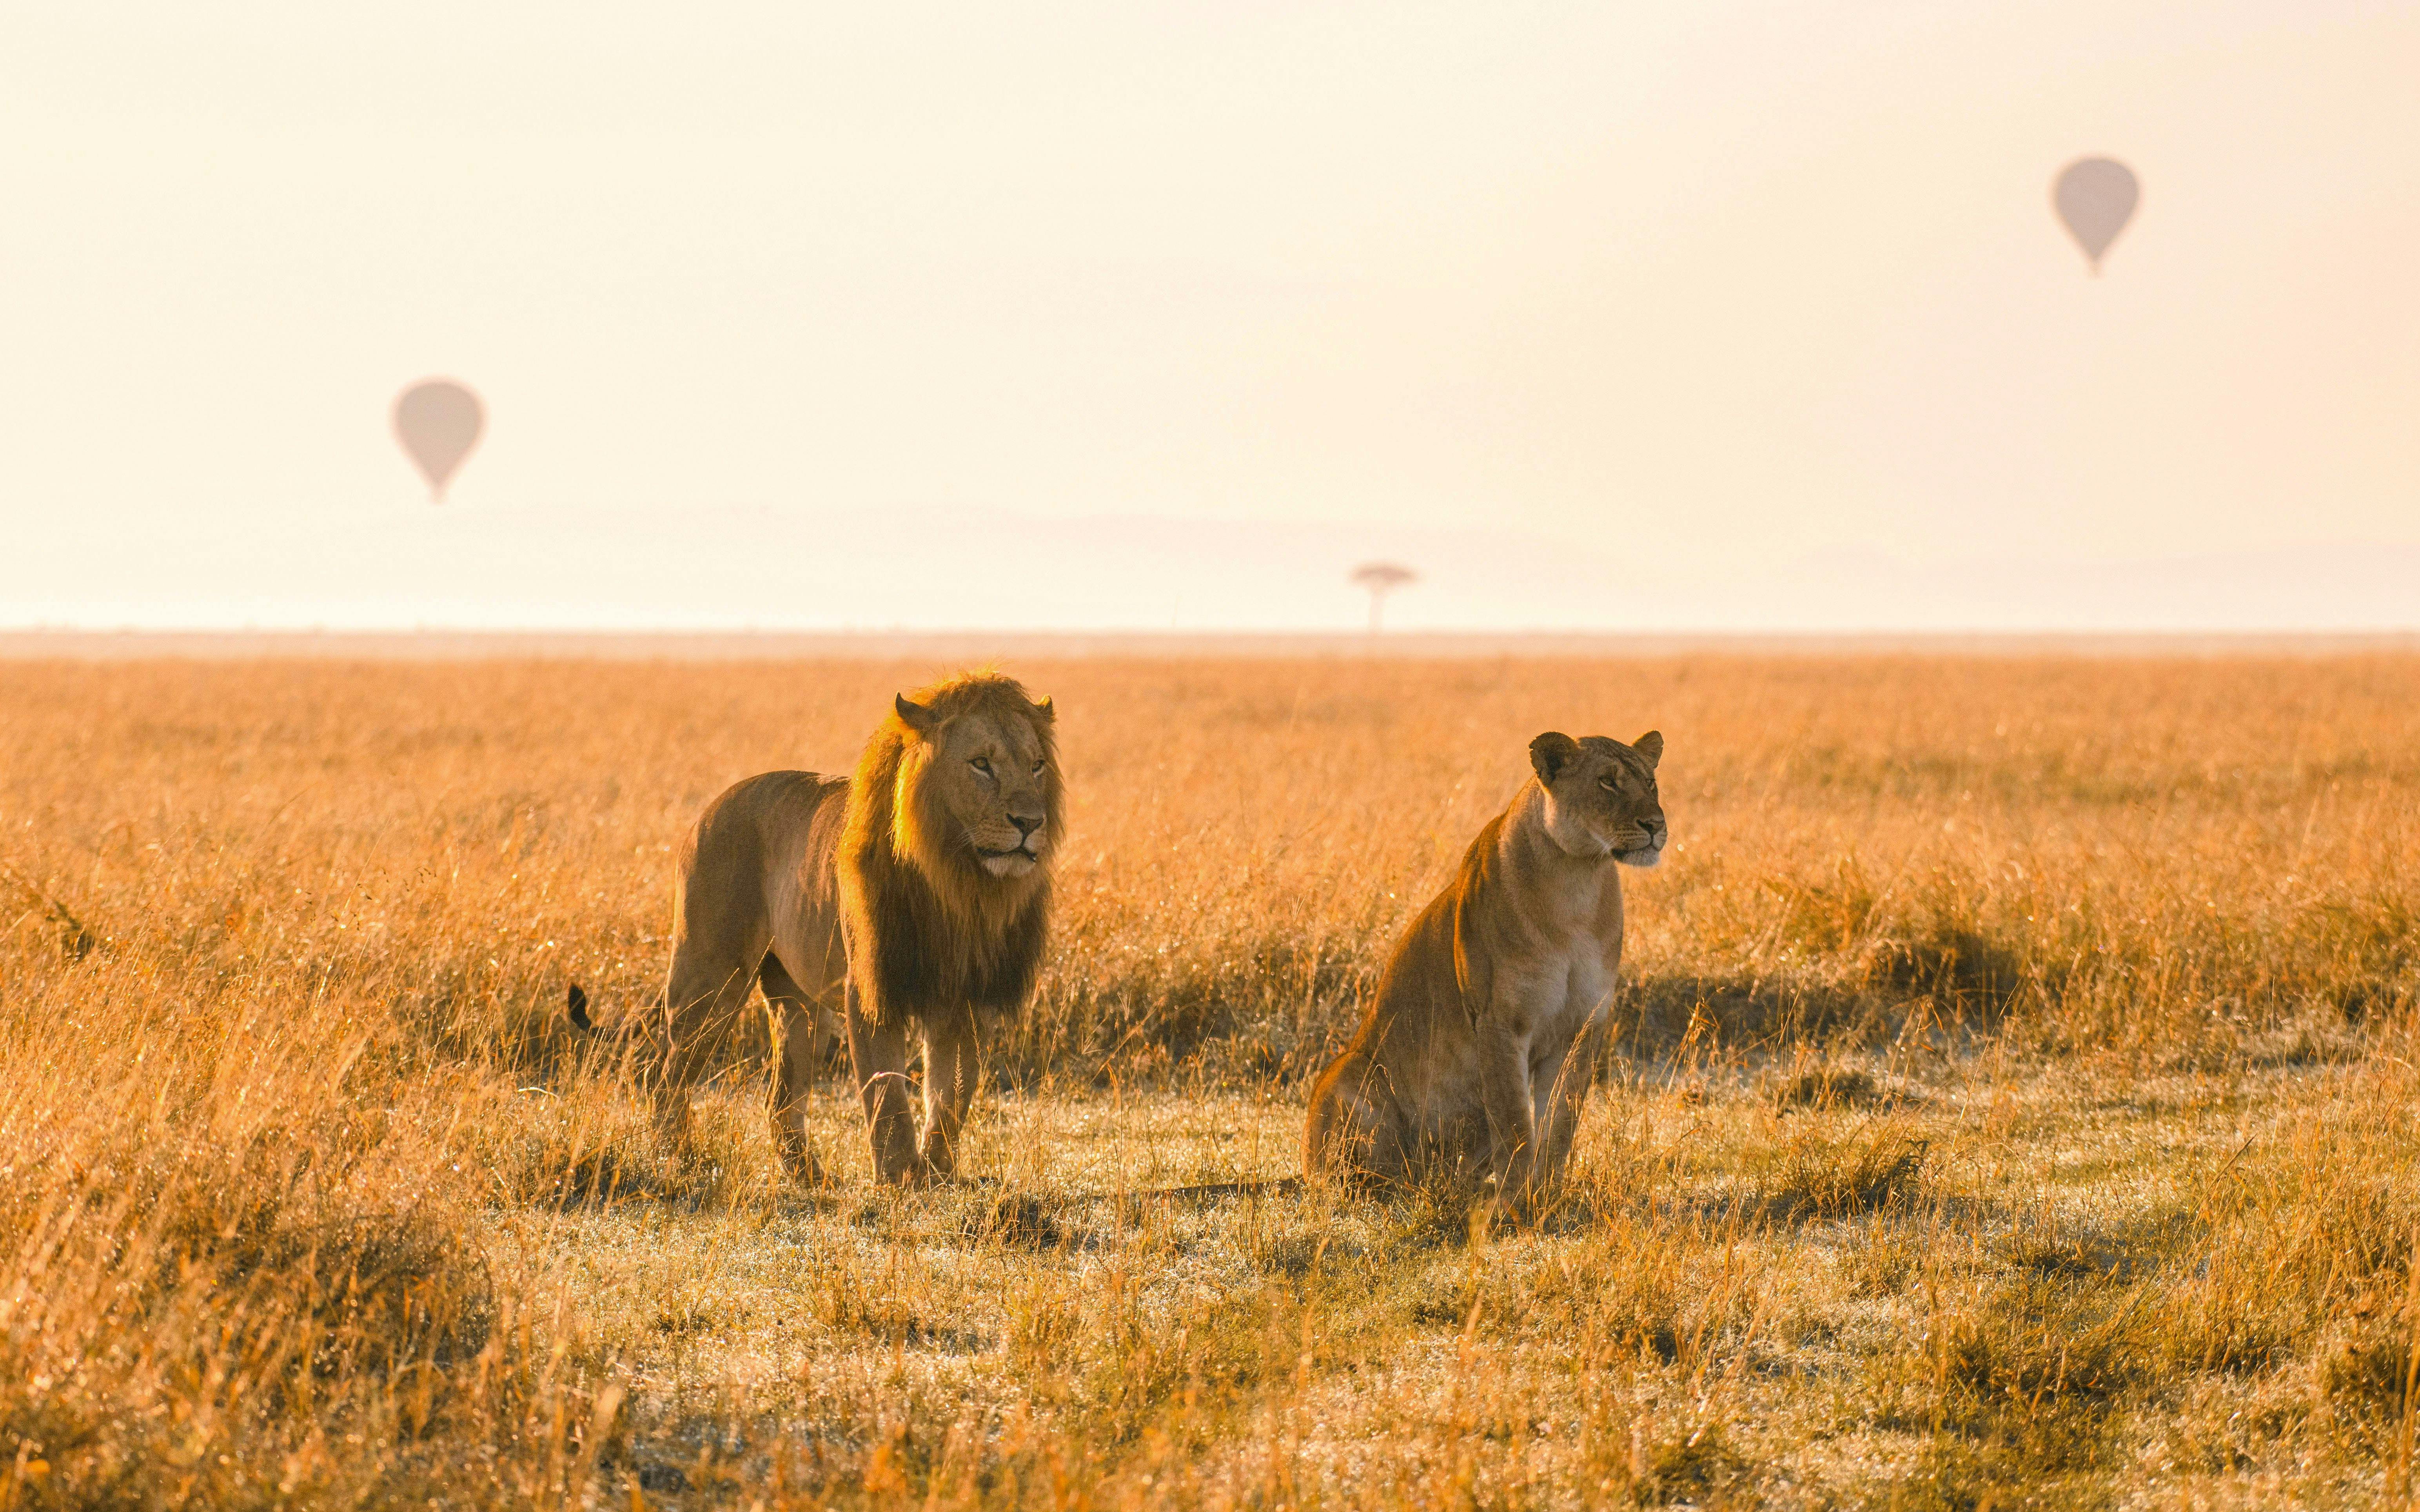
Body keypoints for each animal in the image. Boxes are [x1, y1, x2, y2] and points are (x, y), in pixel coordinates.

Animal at [569, 672, 1063, 1186]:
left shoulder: (965, 1000)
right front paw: (897, 1180)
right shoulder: (868, 990)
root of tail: (713, 805)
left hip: (797, 1004)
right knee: (665, 1077)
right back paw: (680, 1160)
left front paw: (934, 1176)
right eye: (981, 764)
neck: (959, 886)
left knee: (779, 1100)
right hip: (709, 977)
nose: (1030, 823)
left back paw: (808, 1175)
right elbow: (888, 1099)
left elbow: (952, 1098)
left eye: (1037, 766)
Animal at [1303, 727, 1666, 1210]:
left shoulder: (1583, 1026)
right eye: (1607, 783)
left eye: (1650, 783)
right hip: (1349, 1071)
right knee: (1354, 1176)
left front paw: (1547, 1196)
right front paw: (1513, 1203)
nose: (1656, 825)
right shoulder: (1500, 1021)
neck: (1576, 884)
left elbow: (1560, 1122)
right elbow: (1513, 1121)